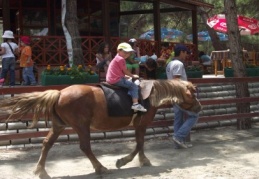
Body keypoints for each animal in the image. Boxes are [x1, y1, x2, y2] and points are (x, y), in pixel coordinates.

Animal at [0, 79, 201, 178]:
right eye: (192, 95)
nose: (199, 107)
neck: (150, 95)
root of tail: (59, 93)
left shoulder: (140, 125)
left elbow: (140, 144)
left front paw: (143, 160)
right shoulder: (141, 124)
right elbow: (139, 144)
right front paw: (124, 161)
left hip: (59, 126)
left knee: (47, 144)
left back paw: (41, 171)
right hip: (81, 126)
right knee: (85, 147)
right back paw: (101, 168)